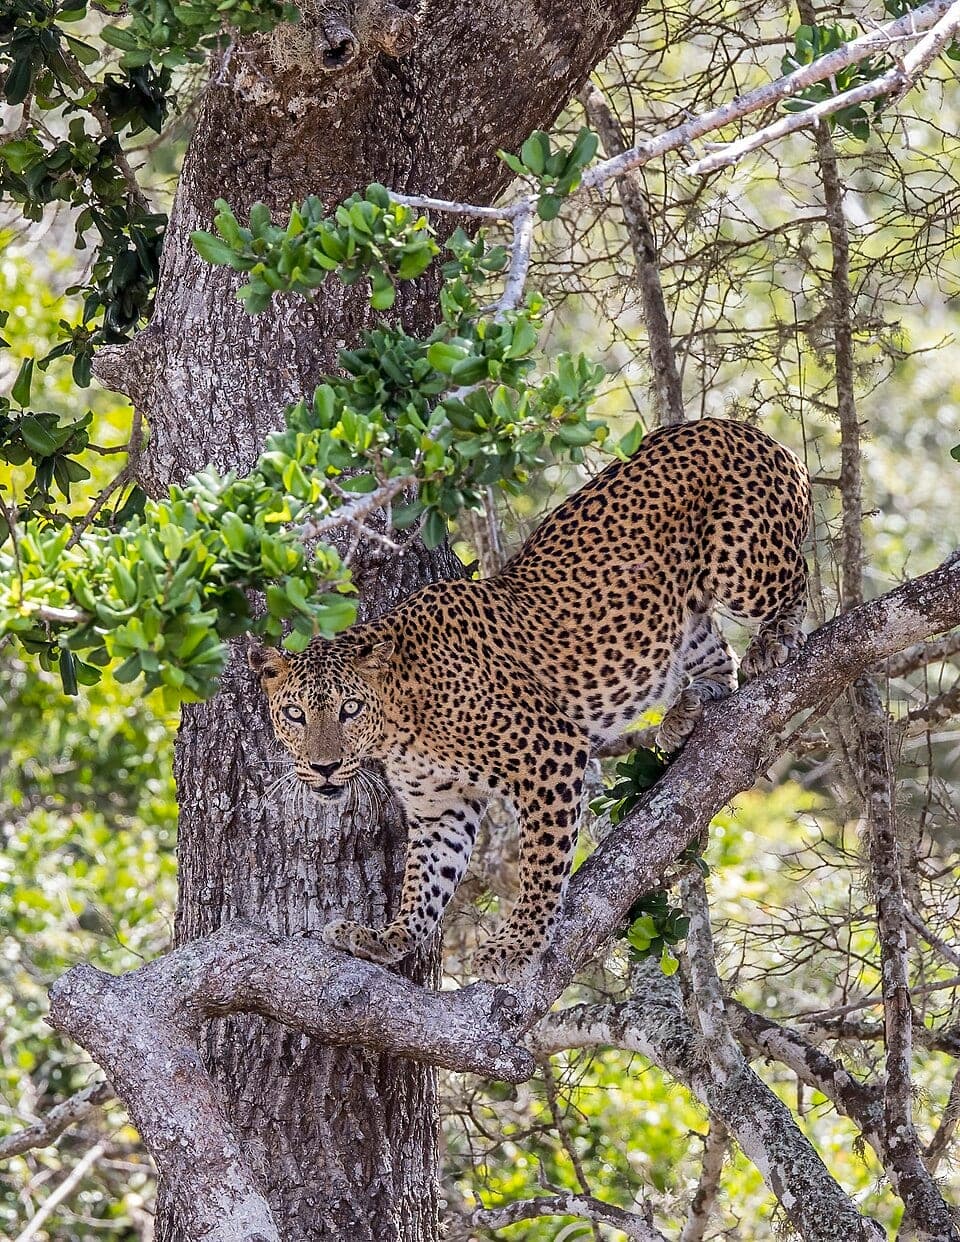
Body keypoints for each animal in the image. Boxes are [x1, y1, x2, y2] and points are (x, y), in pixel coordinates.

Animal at [249, 417, 811, 983]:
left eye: (350, 709)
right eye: (295, 714)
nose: (324, 767)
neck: (399, 725)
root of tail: (735, 425)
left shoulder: (550, 753)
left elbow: (542, 860)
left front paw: (518, 943)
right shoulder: (440, 807)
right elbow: (426, 879)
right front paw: (390, 938)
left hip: (742, 562)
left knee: (797, 575)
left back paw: (773, 642)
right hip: (683, 612)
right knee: (716, 655)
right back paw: (687, 711)